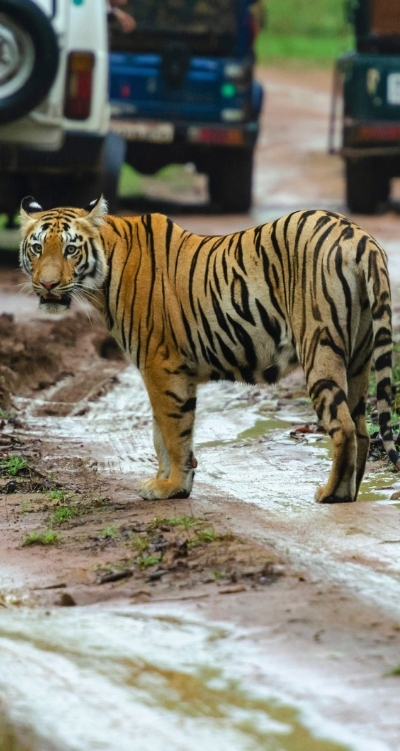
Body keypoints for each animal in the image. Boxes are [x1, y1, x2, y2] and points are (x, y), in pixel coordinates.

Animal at [19, 195, 400, 503]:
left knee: (343, 426)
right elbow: (160, 433)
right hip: (358, 356)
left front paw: (171, 486)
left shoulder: (161, 366)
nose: (48, 285)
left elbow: (173, 432)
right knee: (361, 427)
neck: (105, 274)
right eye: (37, 248)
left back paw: (331, 494)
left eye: (70, 249)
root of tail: (359, 236)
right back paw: (351, 492)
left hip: (320, 347)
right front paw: (166, 482)